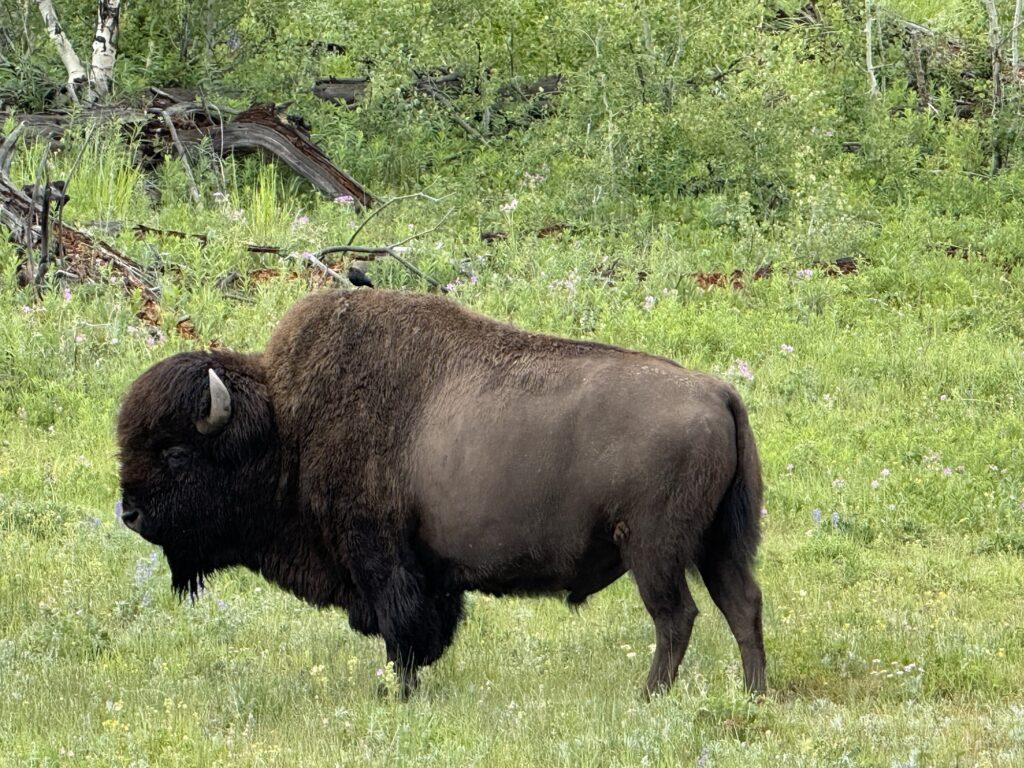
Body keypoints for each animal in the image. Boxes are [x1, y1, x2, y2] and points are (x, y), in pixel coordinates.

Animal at [117, 289, 766, 698]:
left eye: (176, 452)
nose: (129, 512)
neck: (286, 424)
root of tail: (717, 392)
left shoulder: (382, 560)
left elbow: (402, 634)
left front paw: (395, 695)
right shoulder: (429, 573)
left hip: (654, 551)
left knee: (677, 618)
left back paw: (649, 697)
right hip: (717, 546)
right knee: (743, 606)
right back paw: (754, 695)